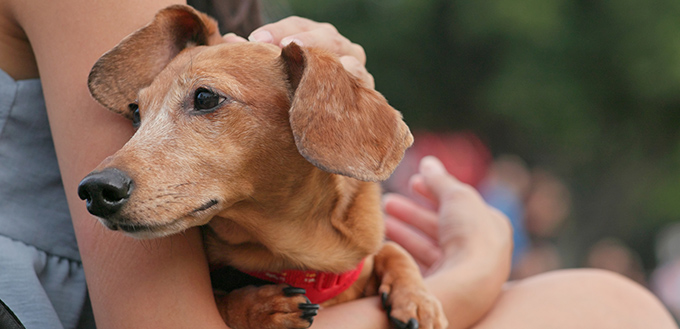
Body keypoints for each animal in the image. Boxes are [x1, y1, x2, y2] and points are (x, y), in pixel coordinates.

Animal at [78, 5, 446, 328]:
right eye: (136, 113)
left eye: (206, 97)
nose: (95, 190)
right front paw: (257, 308)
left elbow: (392, 250)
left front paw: (418, 299)